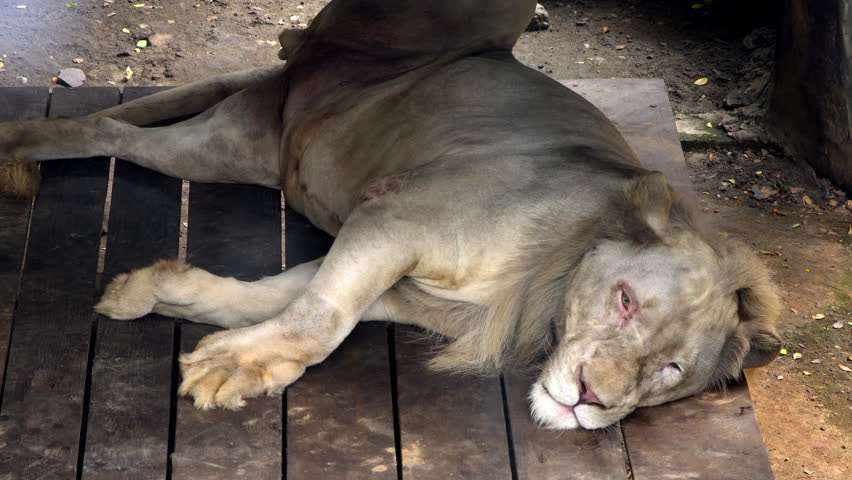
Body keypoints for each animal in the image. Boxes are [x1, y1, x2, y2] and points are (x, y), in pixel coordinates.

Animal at [0, 0, 780, 430]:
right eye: (624, 301)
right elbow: (320, 318)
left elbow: (273, 300)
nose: (591, 399)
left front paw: (157, 295)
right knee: (109, 131)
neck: (541, 288)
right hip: (219, 142)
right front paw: (233, 367)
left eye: (672, 369)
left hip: (238, 139)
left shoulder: (398, 283)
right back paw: (19, 147)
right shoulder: (394, 218)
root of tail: (310, 57)